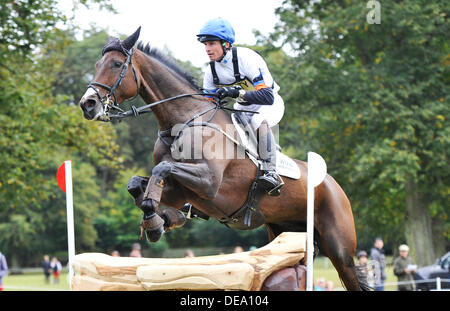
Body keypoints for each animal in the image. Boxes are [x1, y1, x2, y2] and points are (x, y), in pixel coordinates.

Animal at [79, 27, 370, 292]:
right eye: (97, 65)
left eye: (117, 64)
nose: (87, 104)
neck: (182, 122)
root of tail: (333, 184)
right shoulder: (184, 190)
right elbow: (137, 183)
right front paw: (162, 218)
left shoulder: (208, 183)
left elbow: (162, 168)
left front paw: (156, 219)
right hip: (283, 231)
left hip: (339, 247)